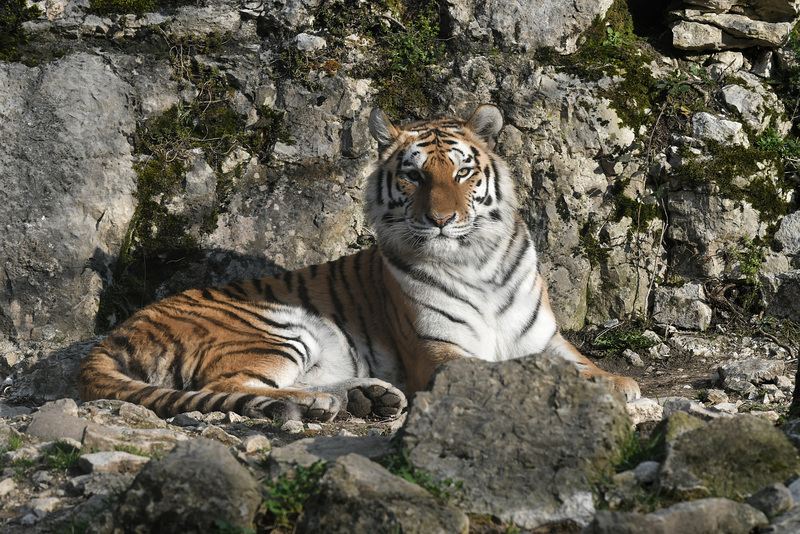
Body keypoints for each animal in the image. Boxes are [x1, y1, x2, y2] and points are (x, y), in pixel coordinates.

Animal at [78, 104, 640, 422]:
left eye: (462, 172)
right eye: (413, 176)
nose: (441, 220)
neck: (475, 262)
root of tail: (117, 333)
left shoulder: (545, 339)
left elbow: (587, 365)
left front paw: (617, 384)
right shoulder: (437, 351)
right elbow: (498, 371)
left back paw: (368, 398)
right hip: (277, 326)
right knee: (228, 387)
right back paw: (324, 405)